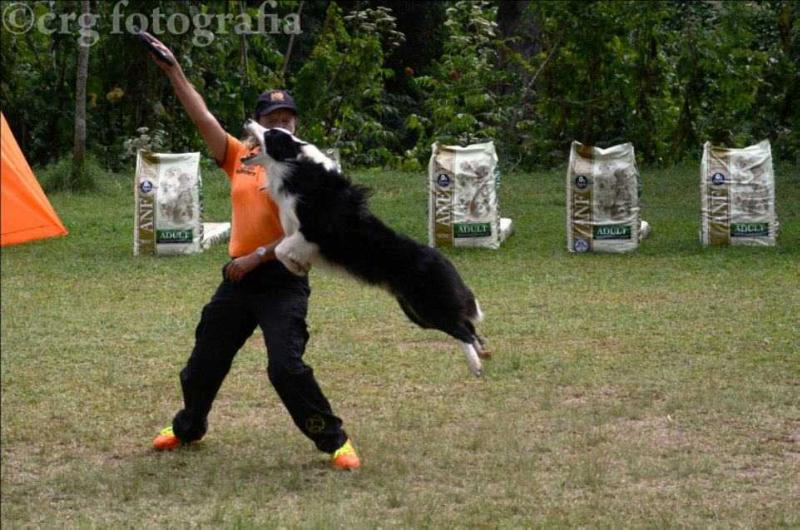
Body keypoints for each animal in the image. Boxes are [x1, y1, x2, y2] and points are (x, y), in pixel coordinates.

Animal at [241, 121, 488, 374]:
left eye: (271, 133)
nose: (248, 121)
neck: (295, 168)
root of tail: (445, 261)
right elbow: (281, 250)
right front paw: (299, 266)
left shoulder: (313, 232)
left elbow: (281, 249)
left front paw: (296, 267)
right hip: (416, 311)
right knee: (467, 326)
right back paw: (481, 353)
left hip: (428, 304)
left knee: (463, 330)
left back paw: (476, 364)